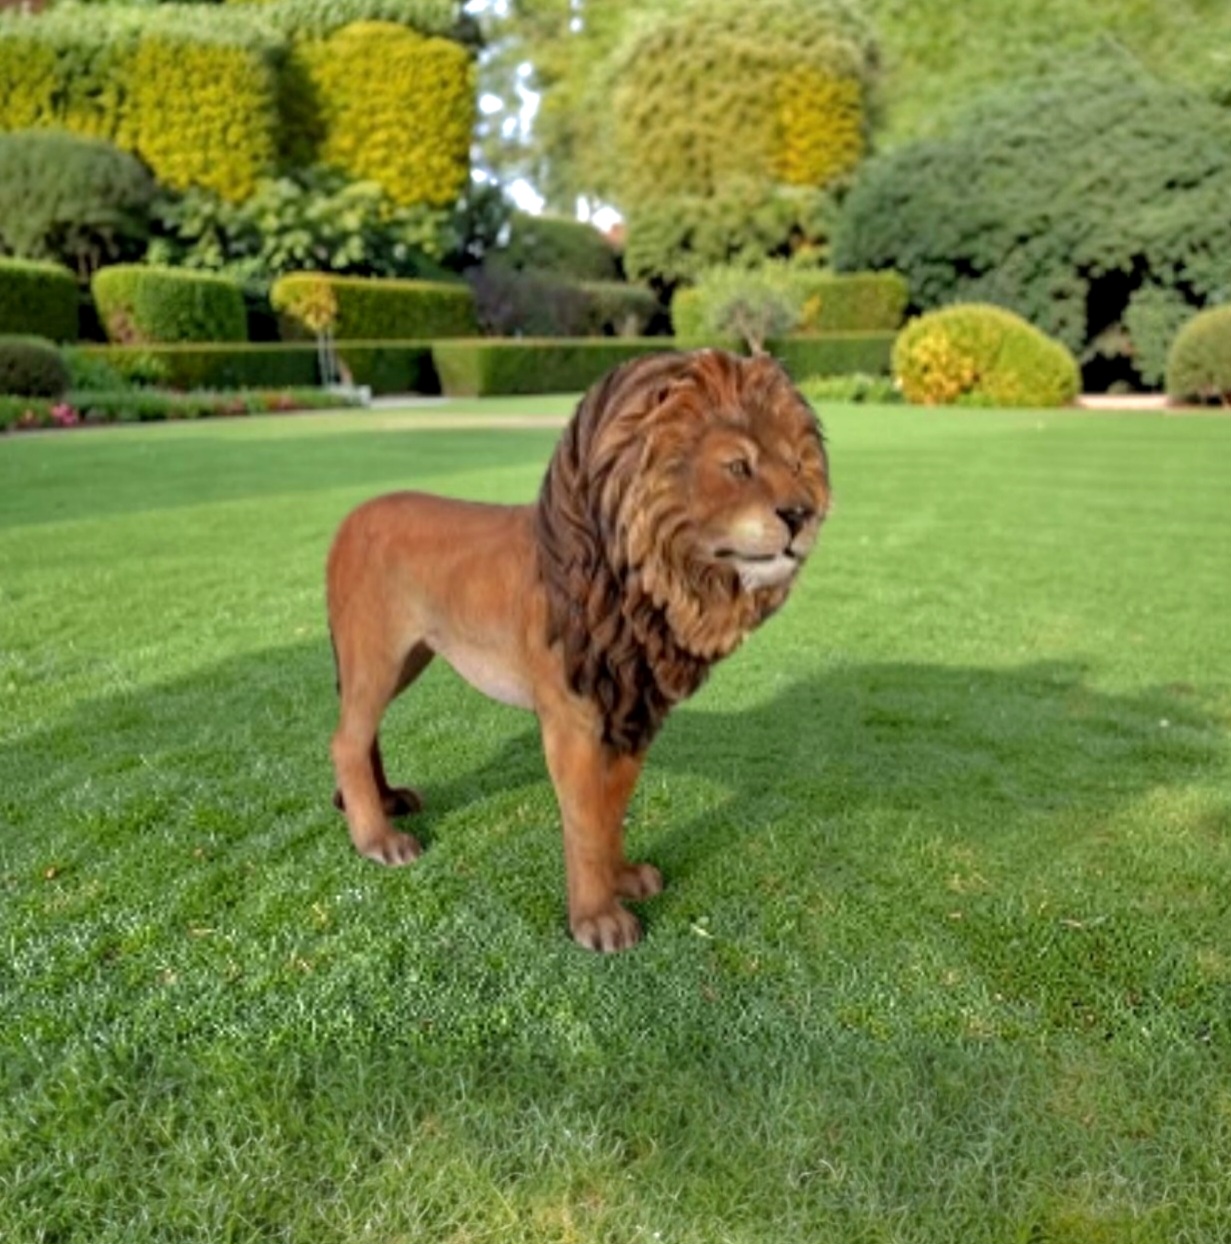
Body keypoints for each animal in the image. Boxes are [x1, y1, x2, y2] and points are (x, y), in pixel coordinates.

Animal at [326, 348, 830, 951]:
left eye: (799, 465)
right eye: (738, 466)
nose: (802, 514)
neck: (647, 587)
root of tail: (349, 519)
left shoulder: (634, 717)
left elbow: (611, 811)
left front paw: (624, 878)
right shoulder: (573, 722)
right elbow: (586, 820)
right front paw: (599, 921)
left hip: (406, 660)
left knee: (363, 731)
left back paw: (387, 802)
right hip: (376, 655)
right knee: (346, 740)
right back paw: (378, 839)